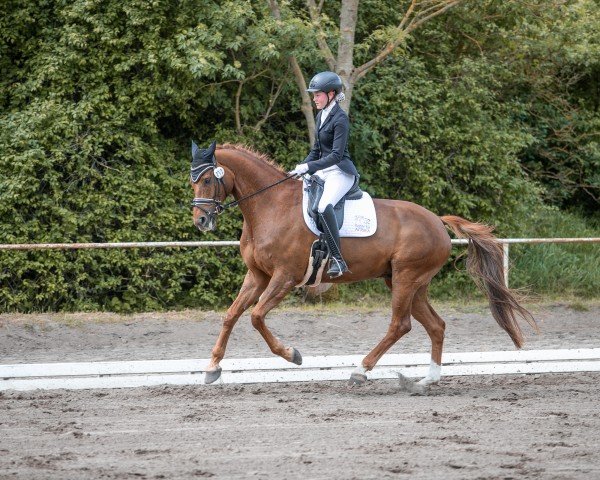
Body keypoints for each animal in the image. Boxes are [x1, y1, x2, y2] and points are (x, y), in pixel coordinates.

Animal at [190, 142, 536, 386]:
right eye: (193, 180)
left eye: (206, 179)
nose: (201, 221)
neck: (270, 206)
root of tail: (437, 220)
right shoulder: (258, 276)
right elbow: (231, 315)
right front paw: (212, 367)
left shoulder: (285, 277)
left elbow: (257, 317)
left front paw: (293, 355)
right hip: (407, 281)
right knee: (435, 325)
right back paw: (428, 379)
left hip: (407, 278)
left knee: (400, 324)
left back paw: (361, 370)